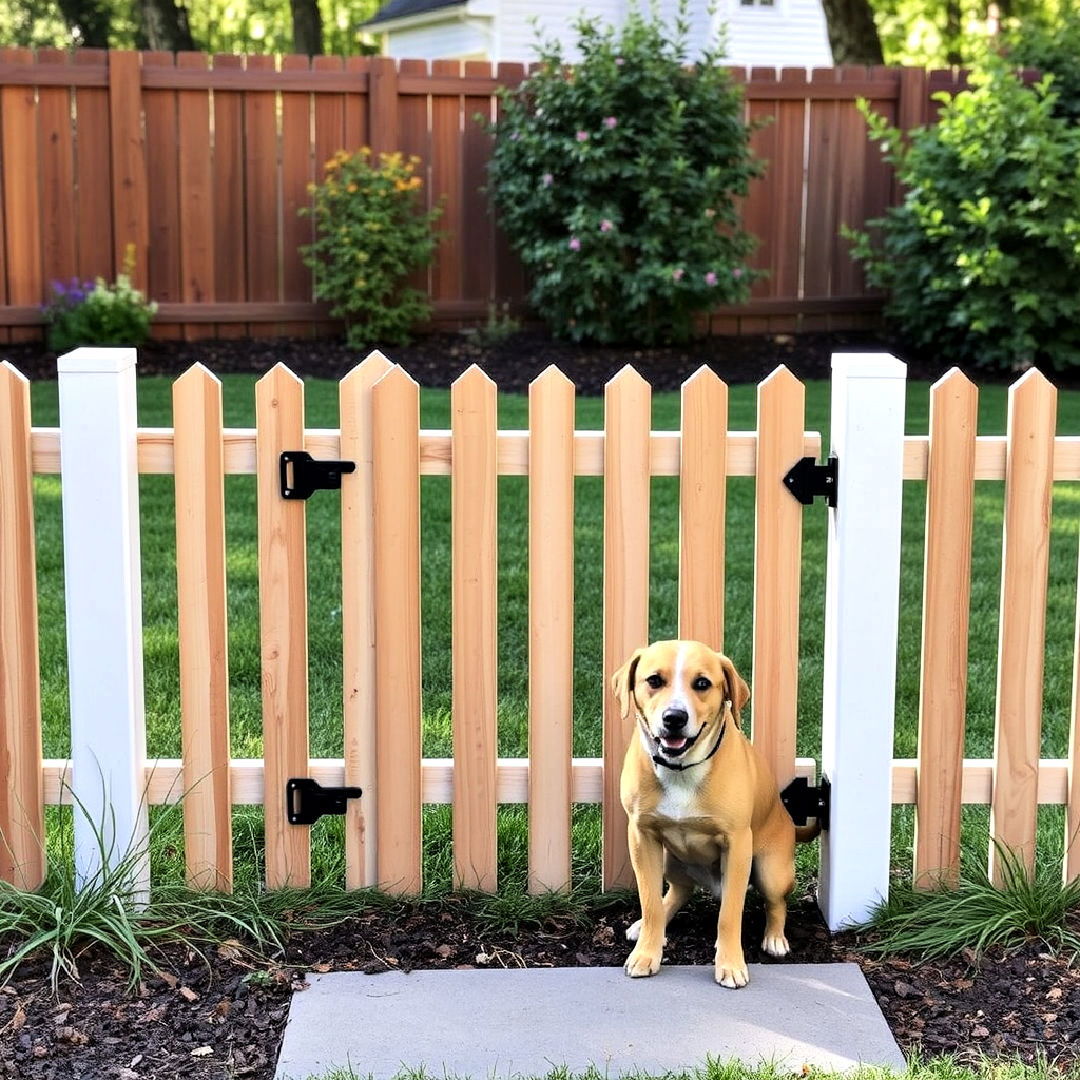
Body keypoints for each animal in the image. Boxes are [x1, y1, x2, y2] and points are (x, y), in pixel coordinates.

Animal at [613, 639, 812, 989]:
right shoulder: (642, 838)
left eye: (703, 683)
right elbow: (650, 903)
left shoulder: (737, 845)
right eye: (654, 680)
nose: (674, 717)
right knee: (678, 891)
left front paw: (730, 963)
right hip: (669, 860)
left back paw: (775, 937)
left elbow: (729, 915)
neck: (681, 770)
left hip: (770, 870)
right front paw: (647, 952)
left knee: (776, 903)